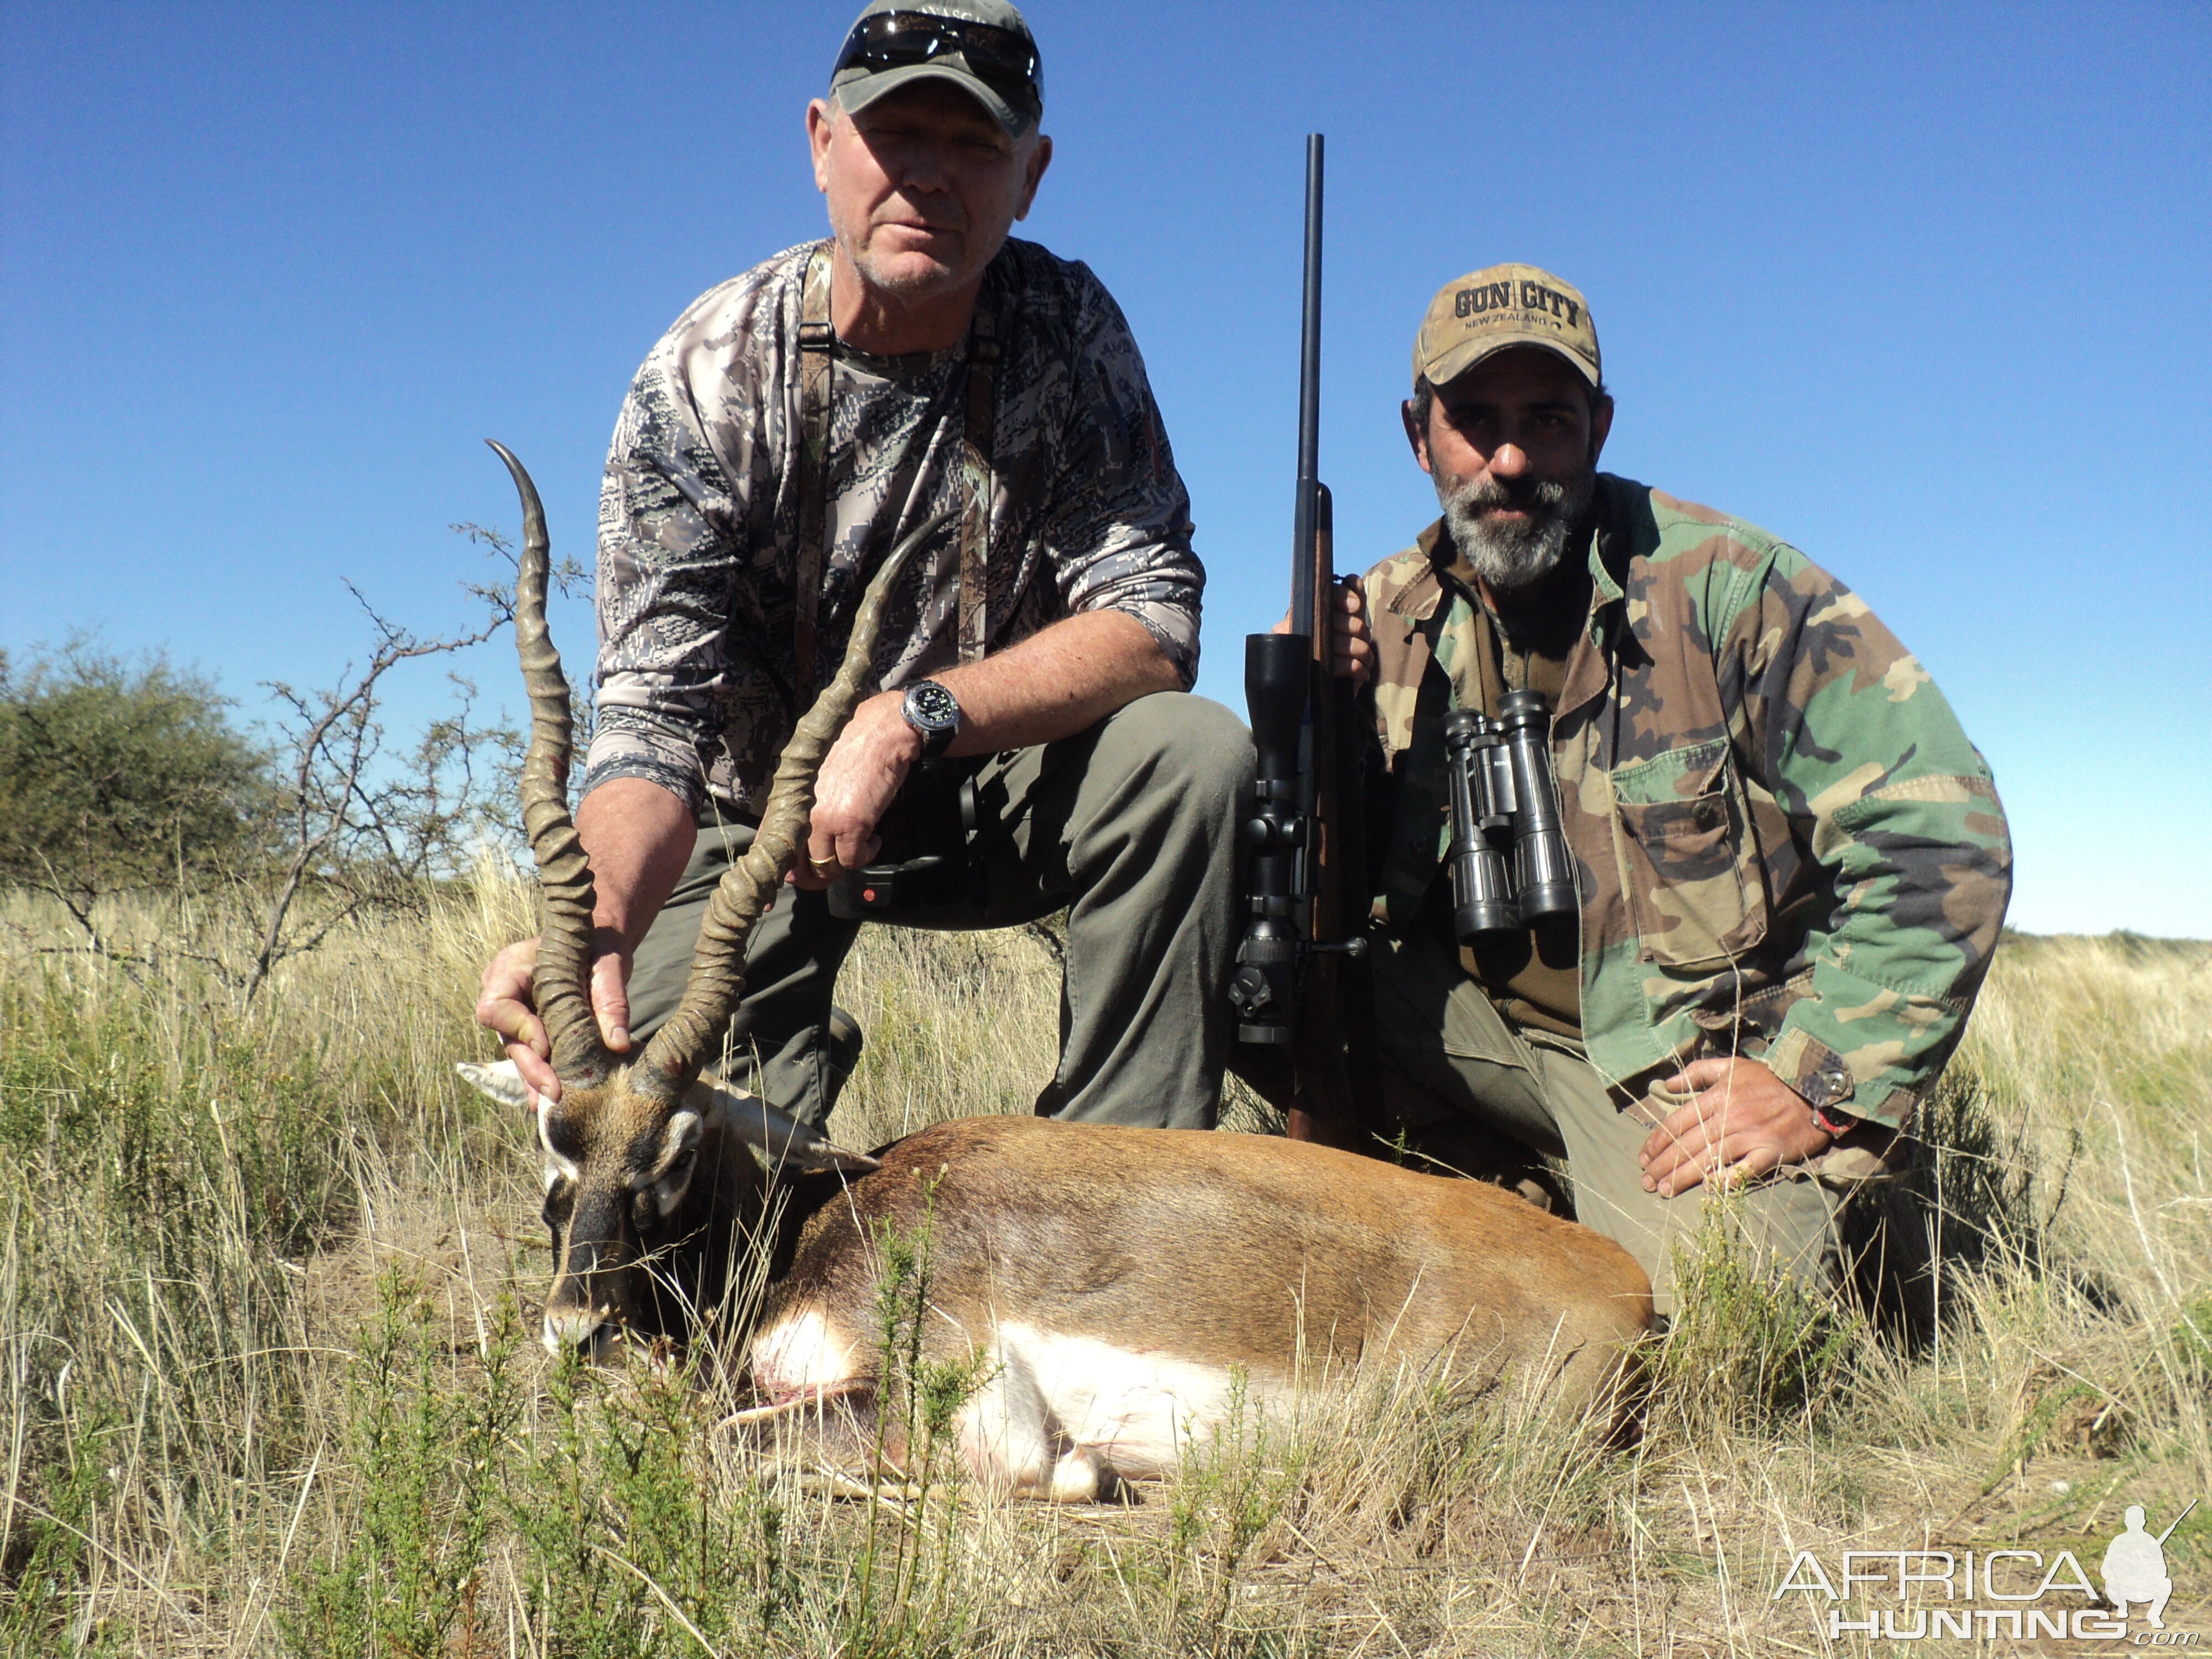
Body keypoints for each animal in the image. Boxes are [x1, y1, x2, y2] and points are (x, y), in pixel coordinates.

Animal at [458, 442, 1655, 1504]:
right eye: (553, 1140)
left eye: (675, 1149)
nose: (576, 1329)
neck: (824, 1216)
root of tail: (1631, 1292)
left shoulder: (951, 1412)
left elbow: (733, 1439)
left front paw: (1085, 1476)